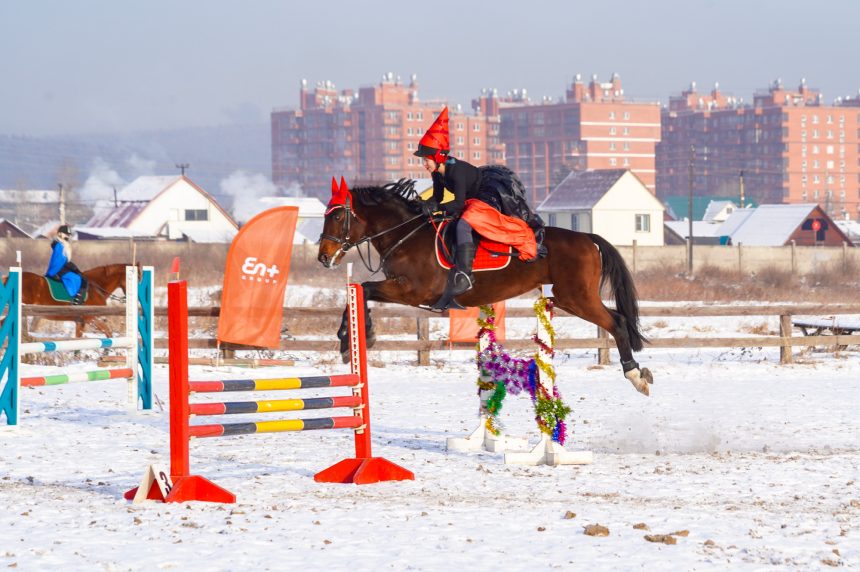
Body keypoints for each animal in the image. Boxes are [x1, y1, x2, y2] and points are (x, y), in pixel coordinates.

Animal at [316, 181, 652, 396]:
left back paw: (635, 375)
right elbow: (361, 291)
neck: (405, 235)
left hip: (576, 298)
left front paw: (352, 339)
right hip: (571, 299)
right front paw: (352, 339)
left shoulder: (412, 291)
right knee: (618, 319)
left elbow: (365, 288)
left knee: (616, 323)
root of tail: (588, 238)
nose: (323, 257)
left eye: (337, 215)